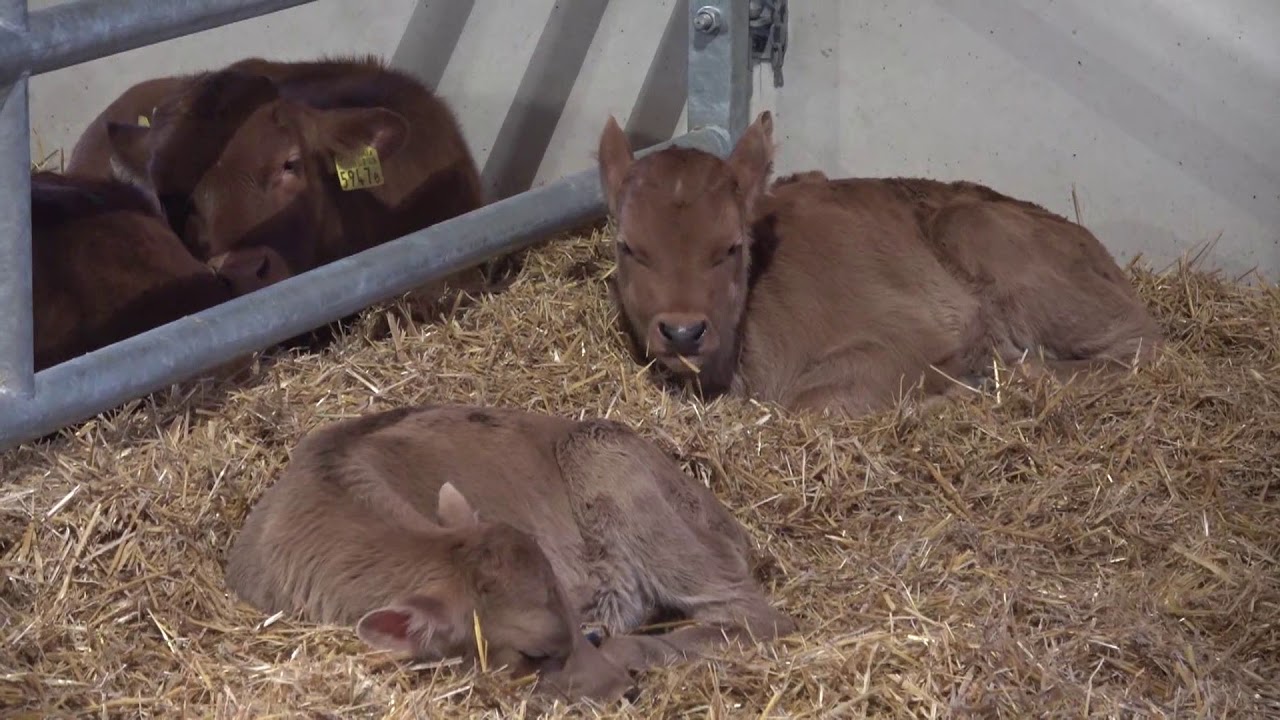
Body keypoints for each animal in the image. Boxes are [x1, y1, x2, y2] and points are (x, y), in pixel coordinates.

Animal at [596, 111, 1165, 416]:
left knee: (1136, 347)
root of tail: (1093, 246)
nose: (683, 331)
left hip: (977, 228)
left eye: (732, 247)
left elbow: (809, 405)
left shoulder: (919, 330)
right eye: (628, 246)